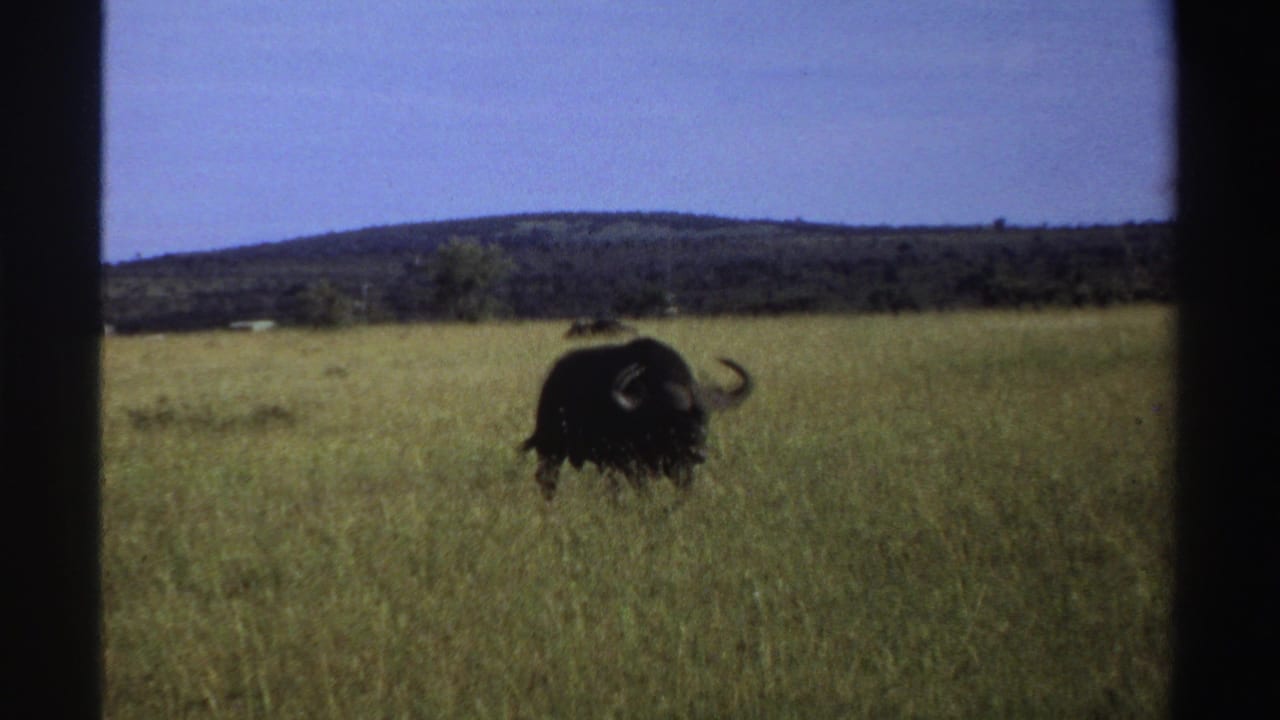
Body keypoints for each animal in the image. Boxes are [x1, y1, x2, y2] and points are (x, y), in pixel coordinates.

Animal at [521, 337, 752, 500]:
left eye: (705, 420)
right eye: (672, 421)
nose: (698, 453)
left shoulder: (681, 467)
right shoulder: (631, 465)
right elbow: (643, 490)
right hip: (550, 448)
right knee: (547, 478)